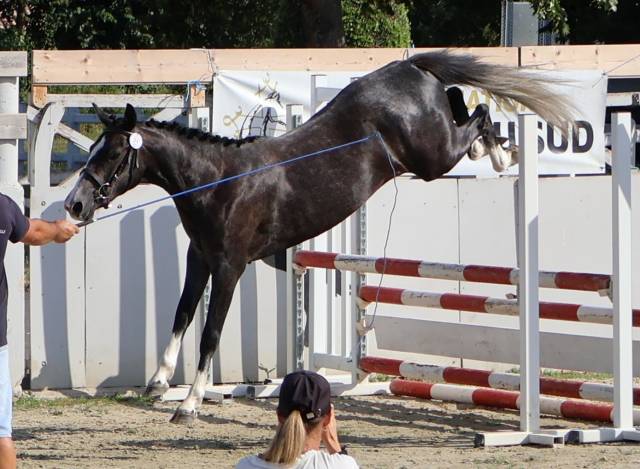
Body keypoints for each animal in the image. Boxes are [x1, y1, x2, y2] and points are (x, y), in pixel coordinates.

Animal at [64, 51, 575, 423]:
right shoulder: (200, 258)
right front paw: (159, 381)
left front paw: (189, 404)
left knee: (480, 114)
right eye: (94, 149)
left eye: (111, 154)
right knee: (462, 102)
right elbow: (183, 314)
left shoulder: (230, 266)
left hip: (432, 158)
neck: (217, 181)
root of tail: (409, 65)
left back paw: (502, 154)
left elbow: (209, 331)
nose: (75, 205)